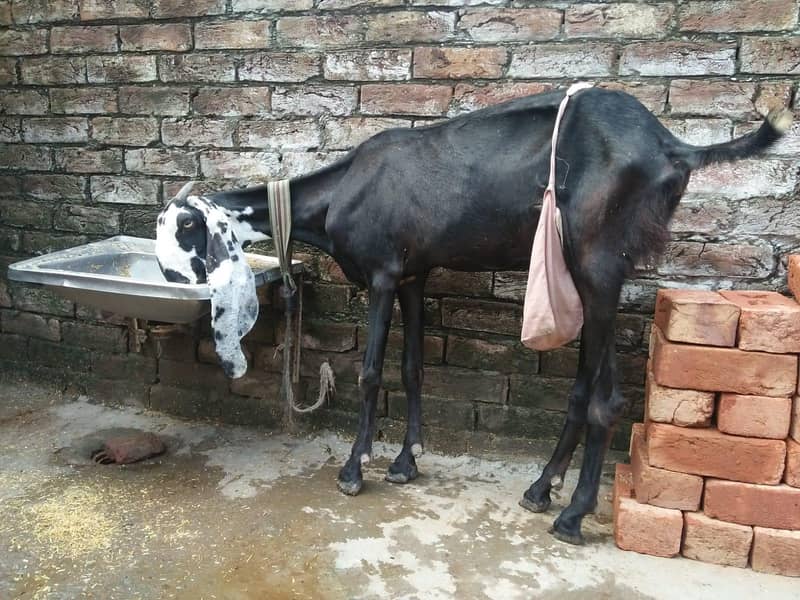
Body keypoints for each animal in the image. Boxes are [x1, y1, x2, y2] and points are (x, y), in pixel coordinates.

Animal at [156, 87, 791, 545]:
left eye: (186, 225)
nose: (166, 277)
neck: (342, 192)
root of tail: (670, 145)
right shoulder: (414, 276)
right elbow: (412, 368)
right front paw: (406, 462)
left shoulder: (383, 273)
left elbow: (370, 373)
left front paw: (356, 469)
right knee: (582, 388)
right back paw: (541, 489)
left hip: (599, 264)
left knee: (607, 398)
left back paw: (572, 517)